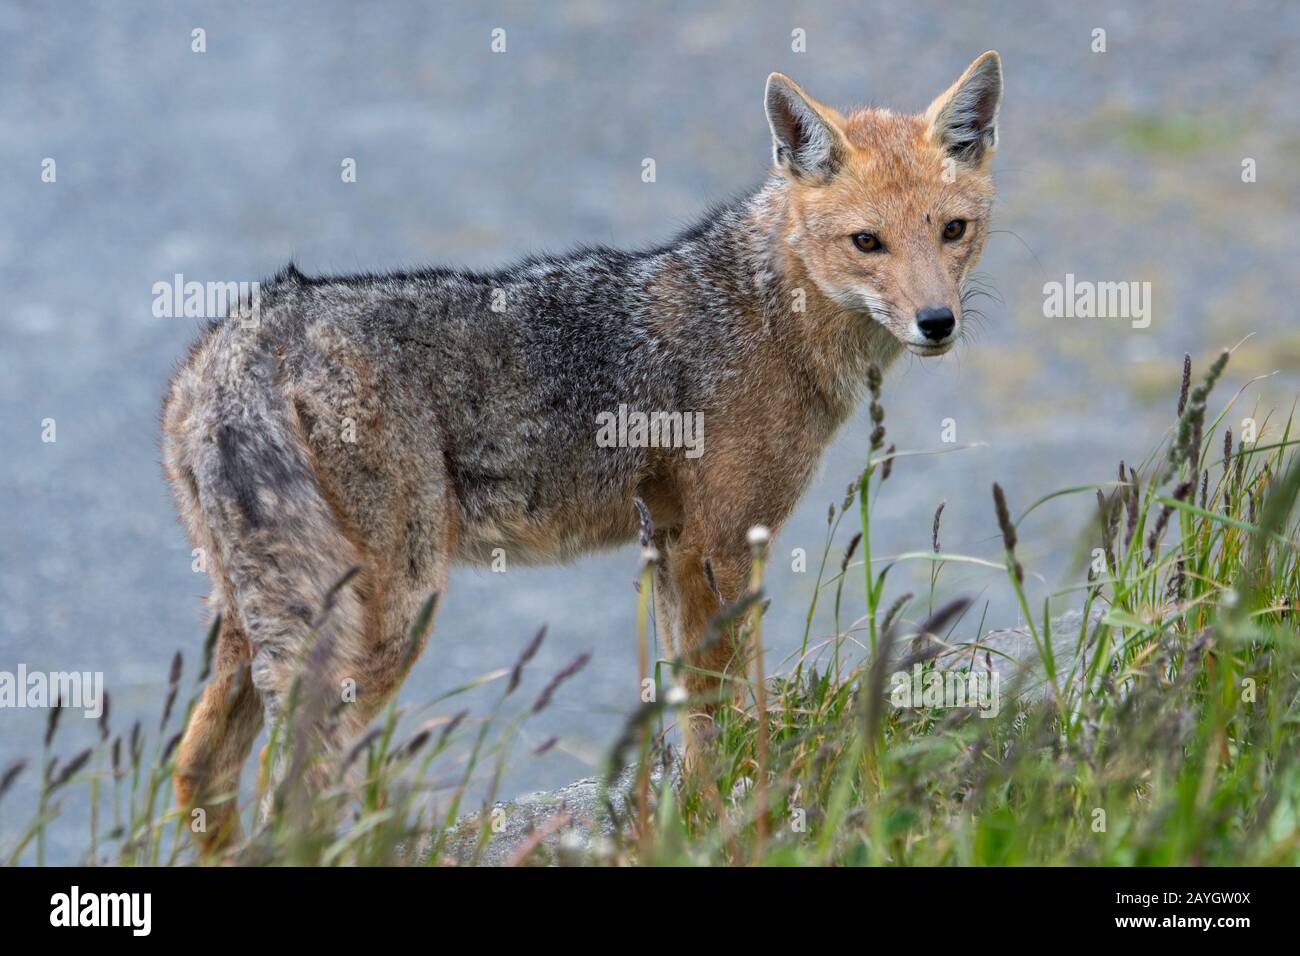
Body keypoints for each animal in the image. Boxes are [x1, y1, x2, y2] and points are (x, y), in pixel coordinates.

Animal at [164, 52, 1003, 850]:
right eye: (868, 242)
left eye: (952, 231)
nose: (937, 322)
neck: (764, 311)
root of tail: (237, 343)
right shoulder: (722, 546)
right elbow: (724, 712)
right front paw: (736, 813)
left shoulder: (670, 546)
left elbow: (690, 715)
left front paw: (694, 815)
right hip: (389, 613)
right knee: (289, 792)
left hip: (252, 619)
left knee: (199, 771)